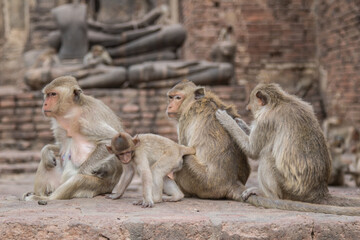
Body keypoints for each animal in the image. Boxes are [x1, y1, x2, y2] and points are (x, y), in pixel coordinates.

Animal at [215, 82, 360, 216]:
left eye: (250, 107)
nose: (247, 109)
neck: (279, 101)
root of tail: (319, 192)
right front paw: (239, 122)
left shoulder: (266, 121)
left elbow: (252, 150)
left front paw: (227, 119)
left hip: (289, 190)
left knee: (266, 155)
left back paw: (268, 195)